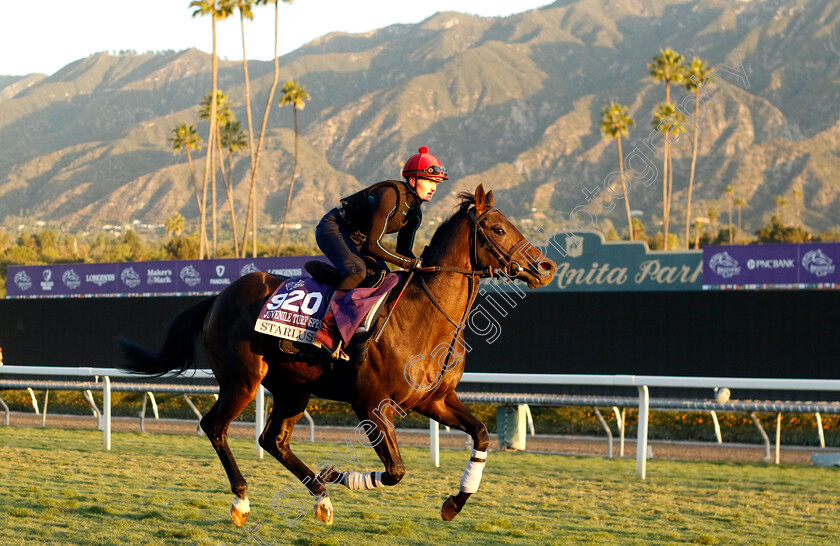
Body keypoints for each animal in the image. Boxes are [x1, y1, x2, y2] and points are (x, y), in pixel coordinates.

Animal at [115, 185, 556, 524]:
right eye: (497, 228)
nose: (546, 266)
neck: (424, 317)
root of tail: (219, 298)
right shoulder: (371, 405)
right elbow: (395, 472)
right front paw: (337, 473)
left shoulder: (434, 399)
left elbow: (480, 435)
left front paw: (454, 503)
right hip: (242, 380)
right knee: (215, 427)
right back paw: (243, 499)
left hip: (293, 389)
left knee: (273, 439)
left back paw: (321, 499)